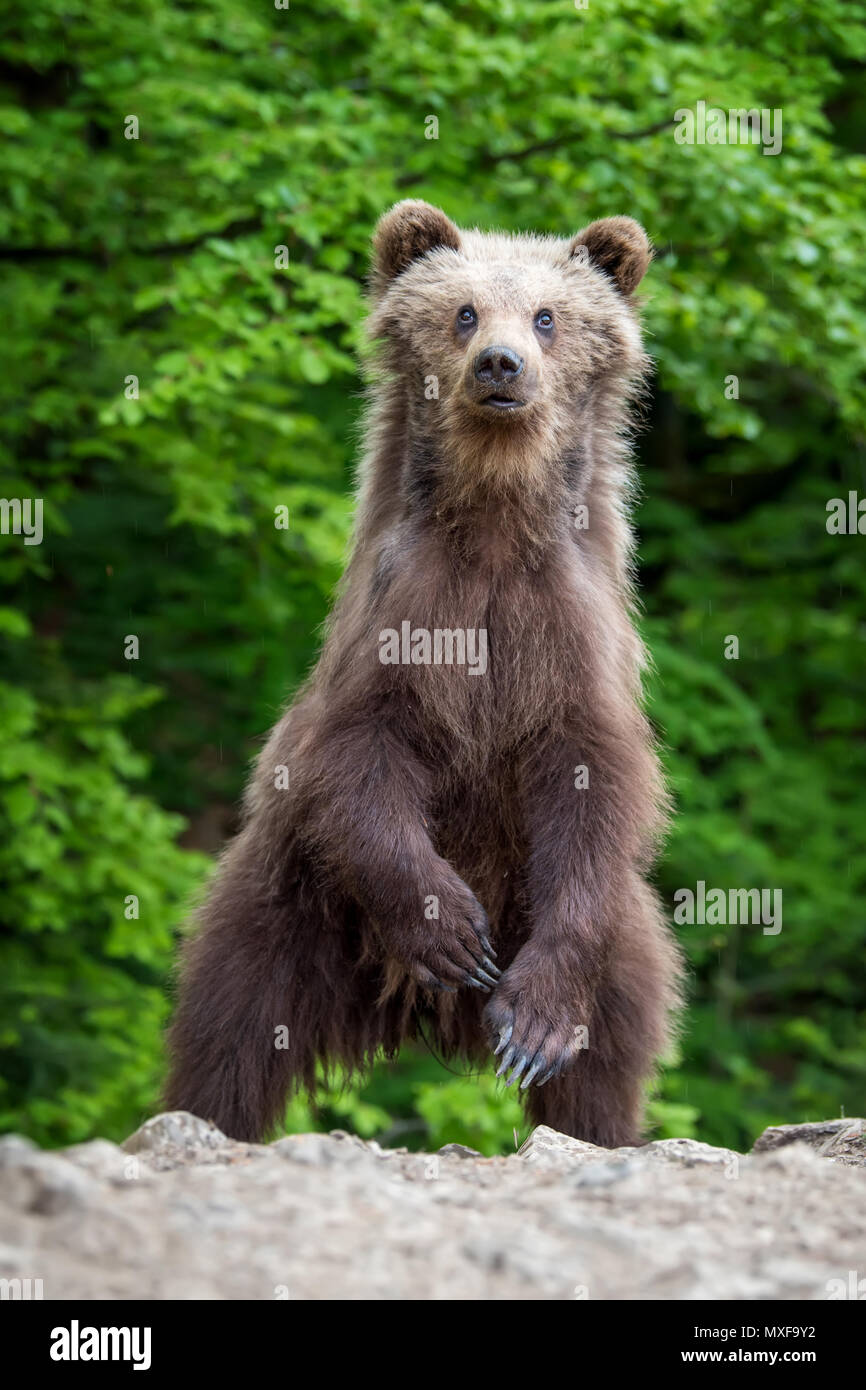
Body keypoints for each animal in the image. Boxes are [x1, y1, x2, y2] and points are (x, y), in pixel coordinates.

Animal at [164, 199, 683, 1149]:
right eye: (465, 311)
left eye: (548, 316)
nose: (500, 364)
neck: (494, 527)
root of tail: (412, 1014)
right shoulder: (399, 623)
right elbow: (358, 759)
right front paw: (450, 933)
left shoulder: (570, 645)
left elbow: (595, 784)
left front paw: (537, 1028)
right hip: (286, 908)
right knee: (233, 1033)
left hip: (622, 940)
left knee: (610, 1055)